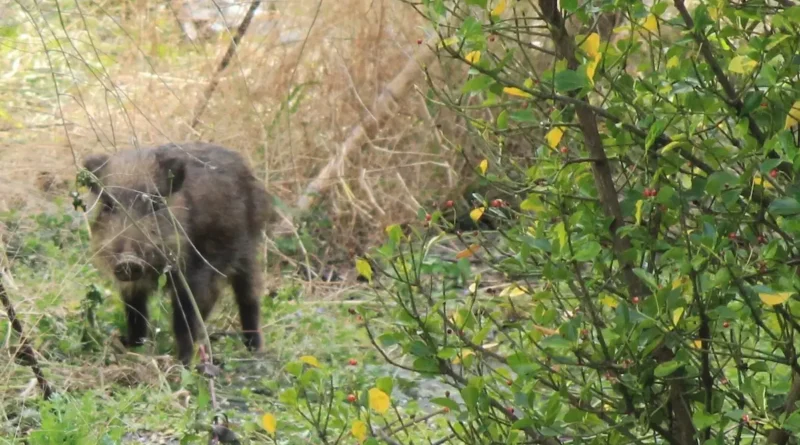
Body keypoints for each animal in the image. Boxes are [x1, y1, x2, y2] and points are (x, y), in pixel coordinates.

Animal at [81, 142, 271, 365]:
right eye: (108, 205)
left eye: (155, 203)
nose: (128, 261)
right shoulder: (131, 286)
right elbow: (136, 313)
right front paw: (133, 348)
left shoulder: (194, 275)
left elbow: (184, 320)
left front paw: (183, 362)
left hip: (248, 252)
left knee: (249, 298)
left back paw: (255, 351)